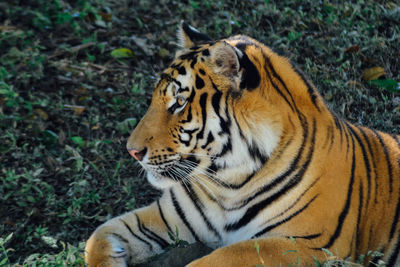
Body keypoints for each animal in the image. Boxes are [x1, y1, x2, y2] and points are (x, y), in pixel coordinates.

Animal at [85, 22, 400, 266]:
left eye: (179, 103)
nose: (132, 151)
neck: (227, 183)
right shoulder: (168, 216)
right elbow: (97, 236)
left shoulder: (306, 243)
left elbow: (219, 258)